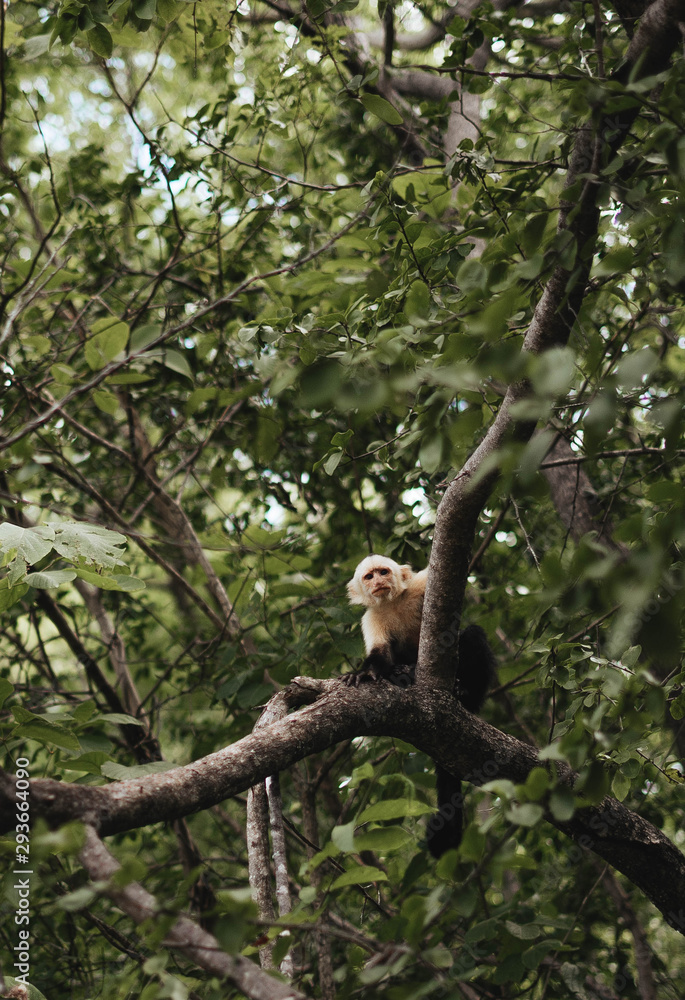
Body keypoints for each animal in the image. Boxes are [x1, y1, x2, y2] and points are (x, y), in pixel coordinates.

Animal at [345, 554, 496, 858]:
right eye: (369, 576)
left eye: (384, 572)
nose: (379, 582)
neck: (392, 603)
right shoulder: (372, 618)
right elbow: (380, 656)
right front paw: (366, 673)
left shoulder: (417, 587)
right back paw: (406, 672)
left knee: (472, 635)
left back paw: (464, 692)